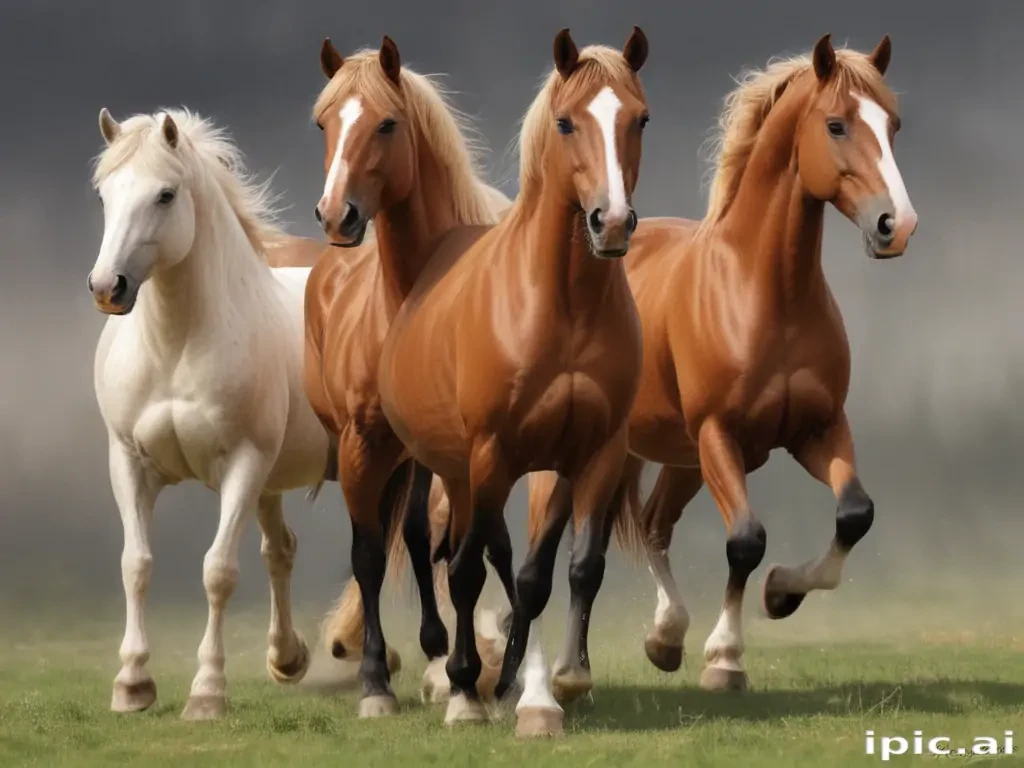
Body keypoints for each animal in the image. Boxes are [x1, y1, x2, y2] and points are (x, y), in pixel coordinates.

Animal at [89, 108, 334, 720]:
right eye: (104, 194)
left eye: (165, 194)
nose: (107, 287)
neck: (178, 344)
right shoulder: (129, 462)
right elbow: (136, 563)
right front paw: (132, 683)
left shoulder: (243, 465)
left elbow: (218, 571)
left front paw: (207, 691)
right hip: (273, 483)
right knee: (281, 551)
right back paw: (287, 657)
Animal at [303, 36, 512, 718]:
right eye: (323, 123)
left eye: (387, 123)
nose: (336, 216)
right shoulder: (361, 444)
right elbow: (368, 554)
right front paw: (376, 683)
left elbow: (468, 548)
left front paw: (466, 671)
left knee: (427, 537)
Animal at [375, 28, 651, 735]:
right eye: (565, 122)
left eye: (639, 119)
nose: (611, 222)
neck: (562, 307)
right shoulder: (492, 454)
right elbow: (473, 567)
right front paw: (477, 688)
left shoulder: (594, 453)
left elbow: (566, 569)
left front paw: (560, 678)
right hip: (454, 464)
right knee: (450, 554)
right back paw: (457, 675)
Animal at [528, 33, 919, 692]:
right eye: (837, 124)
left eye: (892, 124)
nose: (898, 225)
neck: (765, 293)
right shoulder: (720, 436)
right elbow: (745, 540)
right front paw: (725, 658)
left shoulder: (818, 429)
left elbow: (854, 514)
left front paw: (782, 593)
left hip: (671, 457)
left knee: (650, 525)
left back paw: (664, 637)